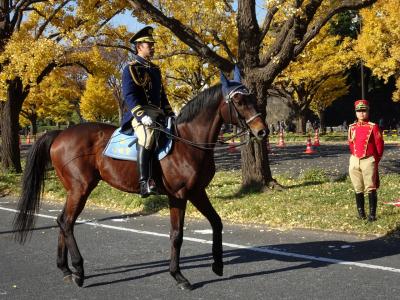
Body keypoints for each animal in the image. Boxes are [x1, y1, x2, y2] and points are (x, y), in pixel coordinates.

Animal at [13, 78, 268, 290]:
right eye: (239, 101)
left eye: (253, 99)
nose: (262, 131)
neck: (188, 142)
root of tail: (59, 134)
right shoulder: (178, 195)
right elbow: (177, 235)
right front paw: (178, 276)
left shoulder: (197, 192)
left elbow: (216, 222)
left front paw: (217, 264)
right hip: (80, 189)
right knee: (66, 222)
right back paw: (79, 270)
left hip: (74, 190)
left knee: (63, 221)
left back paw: (66, 269)